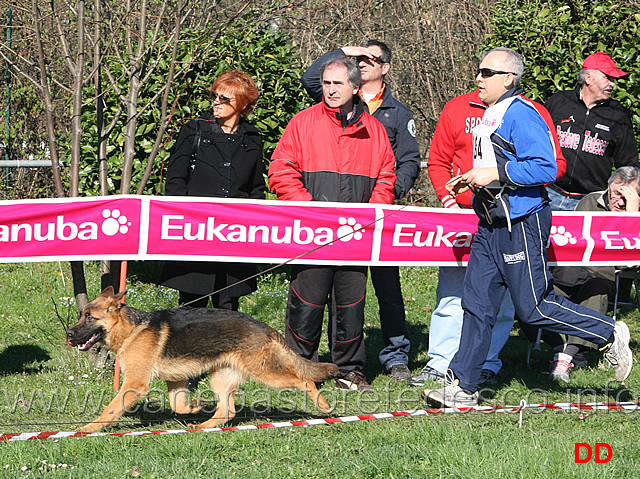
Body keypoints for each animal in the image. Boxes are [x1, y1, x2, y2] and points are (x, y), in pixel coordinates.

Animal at [66, 286, 340, 434]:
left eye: (89, 317)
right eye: (81, 315)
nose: (69, 334)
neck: (131, 329)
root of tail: (264, 327)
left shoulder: (134, 385)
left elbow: (110, 408)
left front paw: (89, 429)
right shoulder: (176, 381)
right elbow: (179, 406)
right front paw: (195, 406)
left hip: (266, 374)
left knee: (303, 380)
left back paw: (324, 405)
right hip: (220, 377)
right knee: (227, 410)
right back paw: (203, 424)